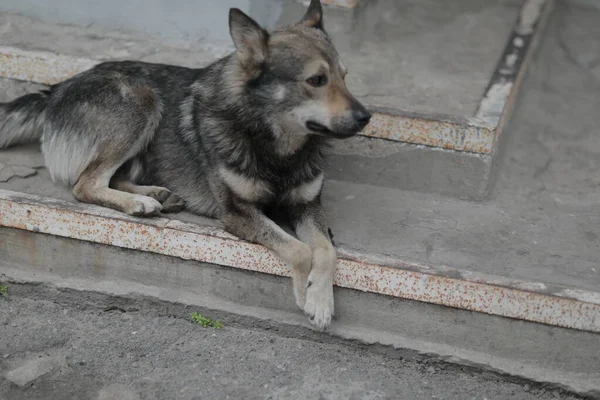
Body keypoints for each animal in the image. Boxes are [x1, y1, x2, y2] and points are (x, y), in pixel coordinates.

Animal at [0, 0, 370, 330]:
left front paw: (320, 301)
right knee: (85, 184)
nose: (365, 117)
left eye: (345, 77)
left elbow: (326, 251)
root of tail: (56, 89)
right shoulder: (238, 213)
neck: (275, 147)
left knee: (111, 178)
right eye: (316, 80)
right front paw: (305, 295)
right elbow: (300, 251)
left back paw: (156, 195)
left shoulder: (308, 206)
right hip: (142, 99)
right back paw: (139, 202)